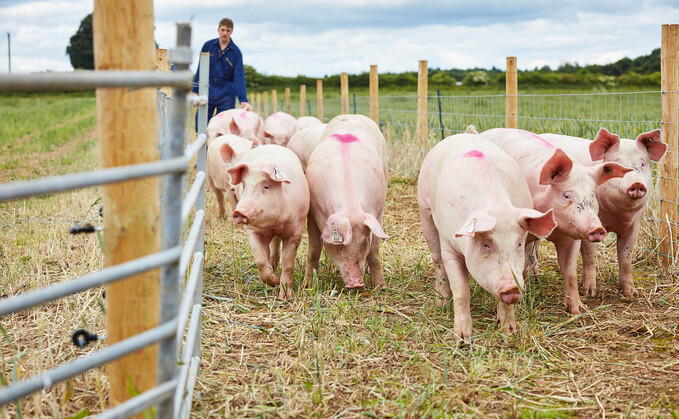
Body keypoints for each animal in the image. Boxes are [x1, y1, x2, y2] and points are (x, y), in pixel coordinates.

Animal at [226, 144, 310, 299]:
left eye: (266, 186)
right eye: (244, 185)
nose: (239, 212)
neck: (275, 223)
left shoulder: (296, 229)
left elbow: (288, 264)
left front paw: (284, 297)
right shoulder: (253, 231)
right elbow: (260, 260)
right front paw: (274, 281)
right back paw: (273, 266)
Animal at [304, 114, 389, 289]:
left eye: (364, 242)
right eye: (339, 245)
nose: (355, 283)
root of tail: (352, 115)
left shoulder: (377, 212)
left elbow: (374, 252)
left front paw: (380, 286)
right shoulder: (313, 213)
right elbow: (314, 250)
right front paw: (307, 286)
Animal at [418, 133, 556, 339]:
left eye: (519, 244)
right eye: (486, 244)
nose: (512, 287)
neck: (496, 207)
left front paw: (509, 332)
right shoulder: (449, 246)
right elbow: (462, 291)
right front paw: (462, 338)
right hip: (424, 210)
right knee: (437, 261)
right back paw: (440, 304)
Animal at [476, 127, 631, 314]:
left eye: (593, 195)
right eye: (566, 195)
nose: (598, 229)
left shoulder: (571, 237)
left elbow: (569, 271)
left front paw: (578, 310)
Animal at [540, 128, 666, 298]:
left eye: (643, 164)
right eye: (618, 162)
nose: (637, 184)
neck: (617, 214)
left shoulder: (635, 225)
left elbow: (626, 256)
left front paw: (631, 294)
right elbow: (590, 255)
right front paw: (588, 292)